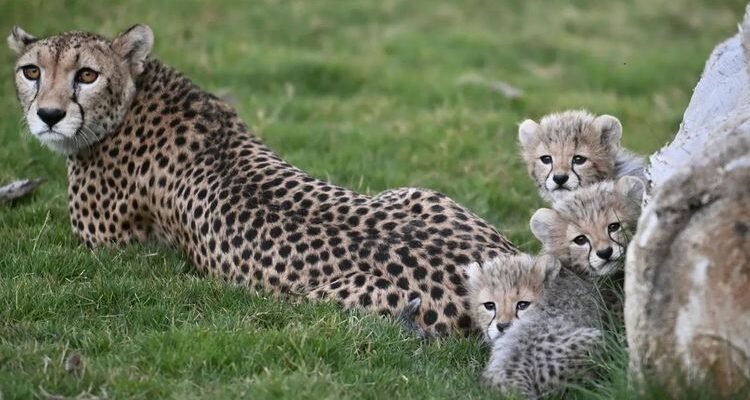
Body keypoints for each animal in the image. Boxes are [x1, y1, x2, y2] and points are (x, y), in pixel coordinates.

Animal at [7, 24, 517, 336]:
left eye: (87, 74)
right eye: (32, 71)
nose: (48, 115)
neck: (135, 94)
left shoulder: (107, 250)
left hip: (327, 302)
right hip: (421, 193)